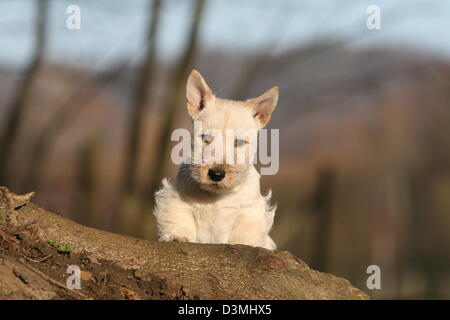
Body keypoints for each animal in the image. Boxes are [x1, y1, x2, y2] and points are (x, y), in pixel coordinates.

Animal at [154, 70, 278, 250]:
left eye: (239, 142)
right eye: (206, 138)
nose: (216, 174)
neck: (217, 196)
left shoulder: (250, 210)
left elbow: (245, 233)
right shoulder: (177, 199)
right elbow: (179, 218)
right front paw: (177, 236)